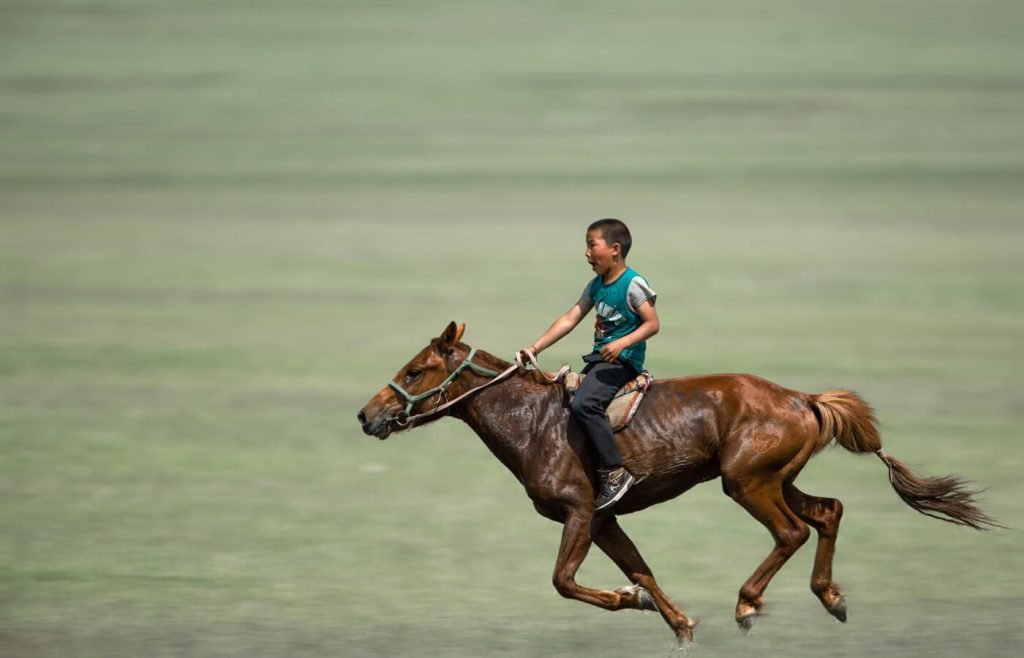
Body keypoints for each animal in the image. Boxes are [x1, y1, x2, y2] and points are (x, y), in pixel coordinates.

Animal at [357, 322, 998, 642]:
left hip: (746, 483)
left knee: (792, 532)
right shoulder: (606, 519)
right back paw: (832, 598)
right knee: (829, 511)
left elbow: (565, 580)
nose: (367, 416)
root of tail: (805, 400)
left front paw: (632, 601)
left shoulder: (580, 512)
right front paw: (679, 623)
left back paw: (747, 604)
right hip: (773, 478)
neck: (534, 422)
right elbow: (642, 569)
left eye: (416, 370)